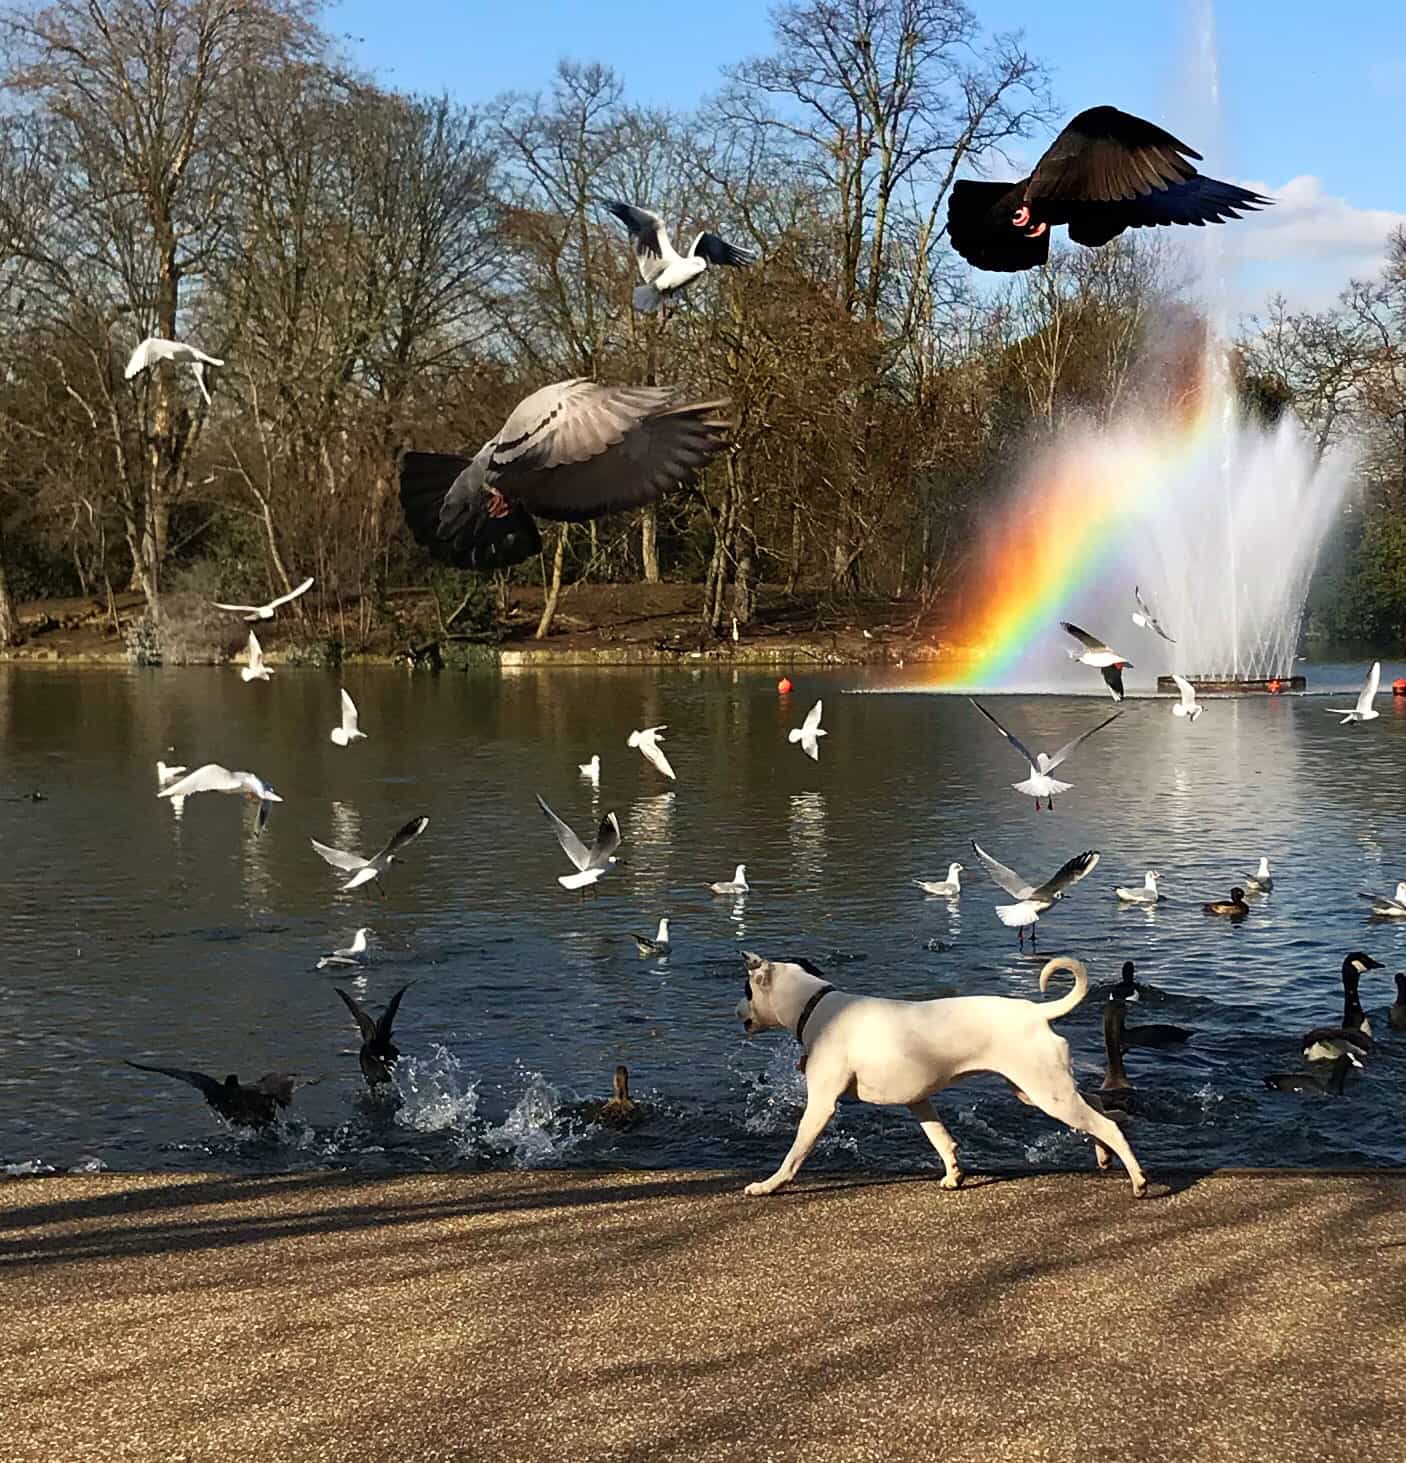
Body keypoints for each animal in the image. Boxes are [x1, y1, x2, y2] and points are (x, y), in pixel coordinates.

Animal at [728, 948, 1147, 1199]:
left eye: (746, 991)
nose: (735, 1011)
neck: (816, 1007)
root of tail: (1036, 1012)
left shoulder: (821, 1107)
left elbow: (795, 1153)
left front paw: (768, 1185)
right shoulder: (919, 1100)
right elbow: (942, 1138)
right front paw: (954, 1175)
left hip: (1047, 1093)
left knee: (1106, 1123)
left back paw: (1138, 1181)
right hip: (1036, 1090)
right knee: (1097, 1107)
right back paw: (1104, 1157)